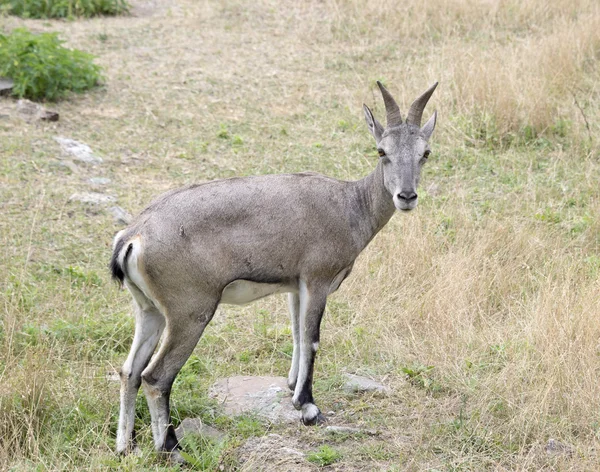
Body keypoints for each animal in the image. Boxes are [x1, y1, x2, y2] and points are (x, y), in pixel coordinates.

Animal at [110, 81, 436, 460]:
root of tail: (134, 236)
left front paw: (293, 387)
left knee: (130, 371)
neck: (350, 207)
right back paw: (171, 448)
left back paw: (125, 446)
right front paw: (308, 407)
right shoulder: (318, 280)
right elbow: (311, 339)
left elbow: (296, 334)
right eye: (381, 150)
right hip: (189, 313)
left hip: (149, 311)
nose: (406, 196)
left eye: (425, 152)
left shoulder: (296, 287)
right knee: (156, 376)